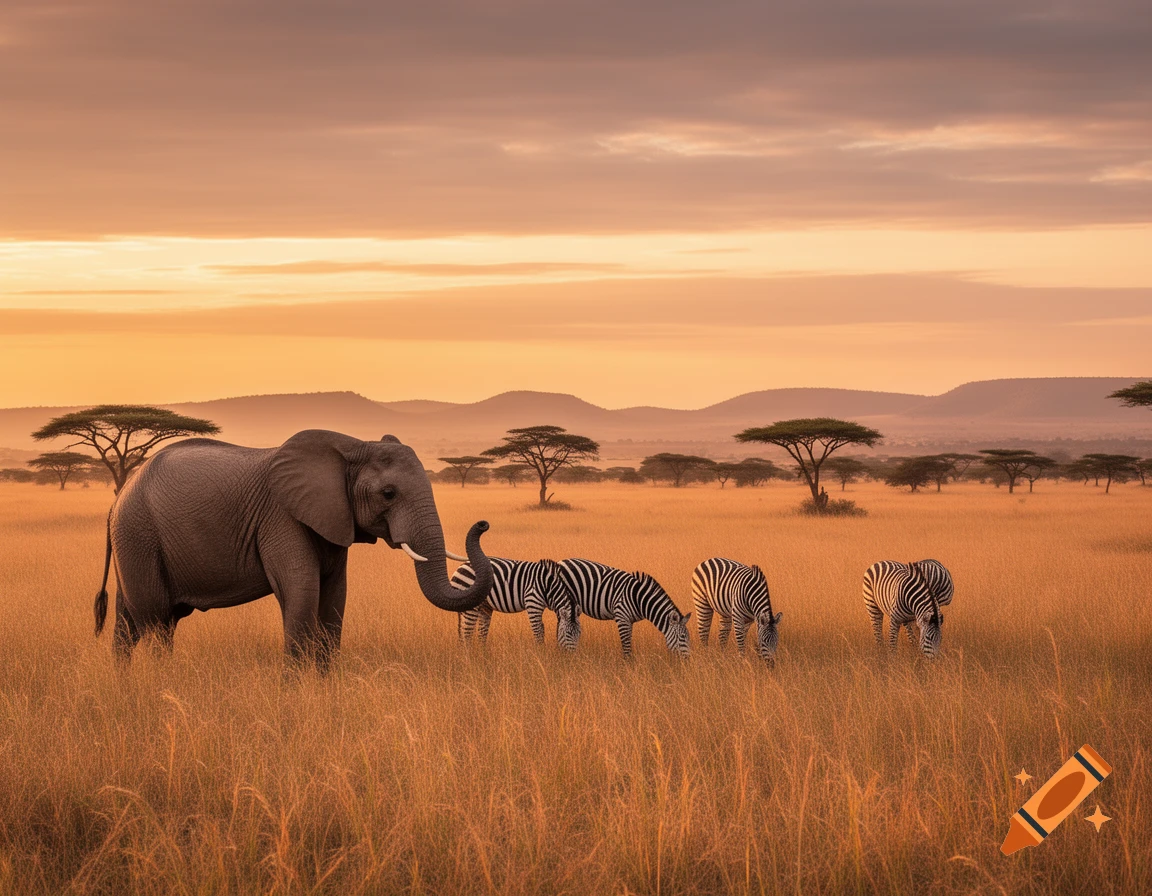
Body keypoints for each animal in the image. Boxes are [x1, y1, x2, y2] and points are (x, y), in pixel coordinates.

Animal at [92, 429, 494, 668]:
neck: (350, 446)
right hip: (139, 533)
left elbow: (334, 597)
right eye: (388, 493)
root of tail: (117, 499)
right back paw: (162, 681)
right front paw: (295, 693)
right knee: (156, 619)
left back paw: (126, 685)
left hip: (135, 540)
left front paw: (325, 687)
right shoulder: (281, 518)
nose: (483, 524)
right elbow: (301, 592)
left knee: (130, 620)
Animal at [557, 559, 690, 657]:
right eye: (682, 637)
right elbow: (626, 646)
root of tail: (561, 561)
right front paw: (628, 668)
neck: (640, 599)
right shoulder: (622, 618)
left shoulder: (630, 621)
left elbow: (628, 642)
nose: (688, 661)